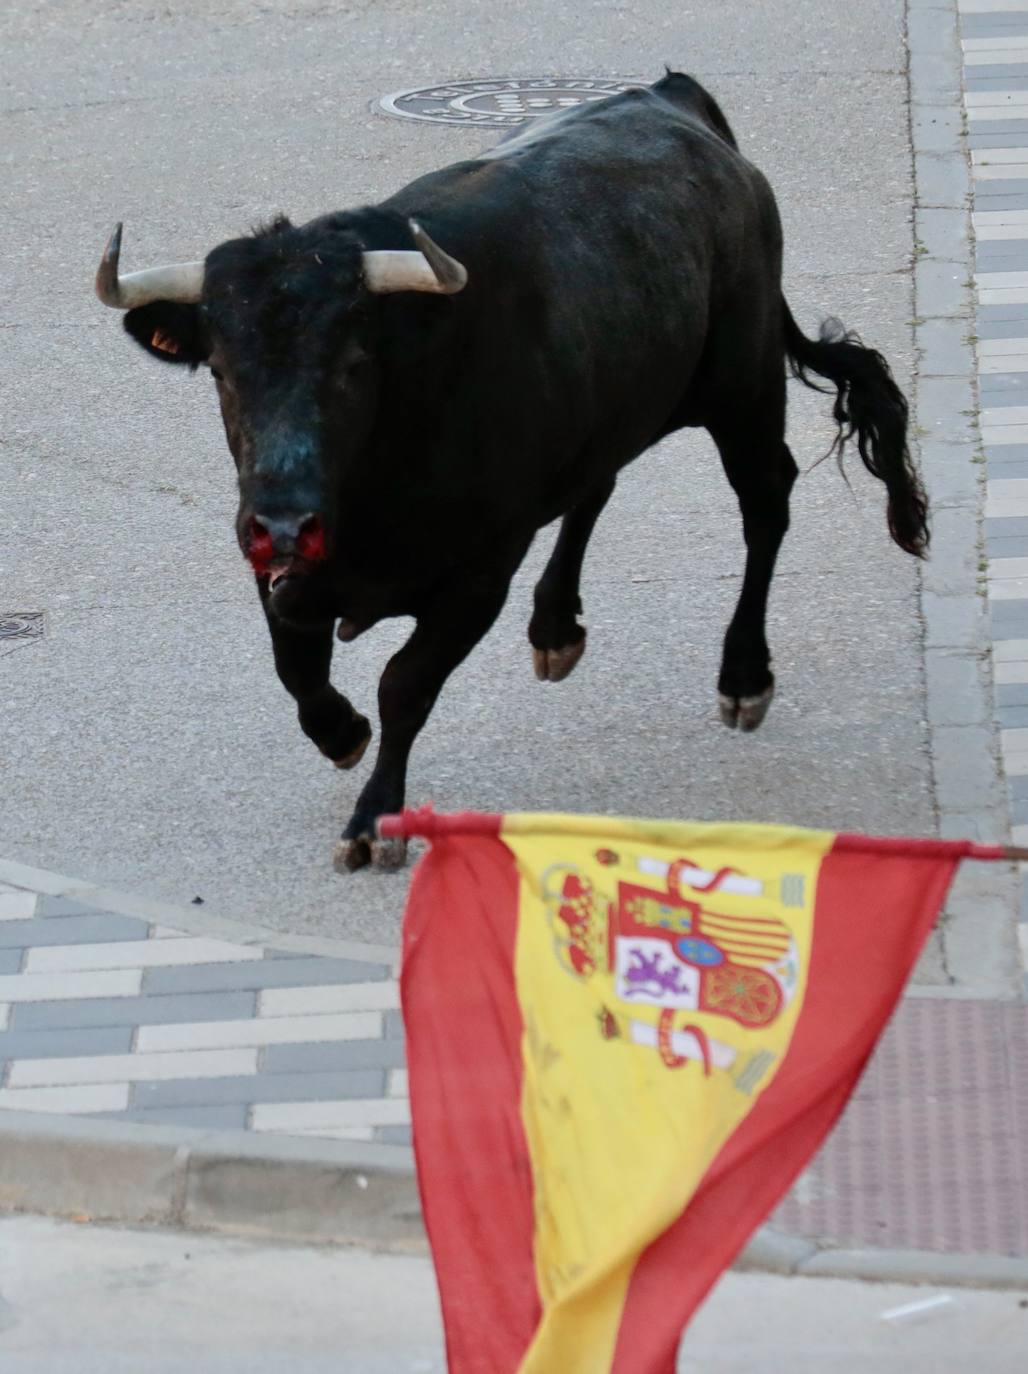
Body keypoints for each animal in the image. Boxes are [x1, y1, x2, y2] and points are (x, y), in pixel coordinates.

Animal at [98, 69, 929, 868]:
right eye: (222, 372)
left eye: (354, 364)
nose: (284, 522)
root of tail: (676, 100)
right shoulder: (282, 567)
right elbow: (295, 667)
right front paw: (341, 732)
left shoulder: (480, 573)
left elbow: (404, 684)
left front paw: (374, 821)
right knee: (598, 482)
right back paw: (556, 625)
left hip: (744, 384)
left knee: (765, 501)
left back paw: (743, 677)